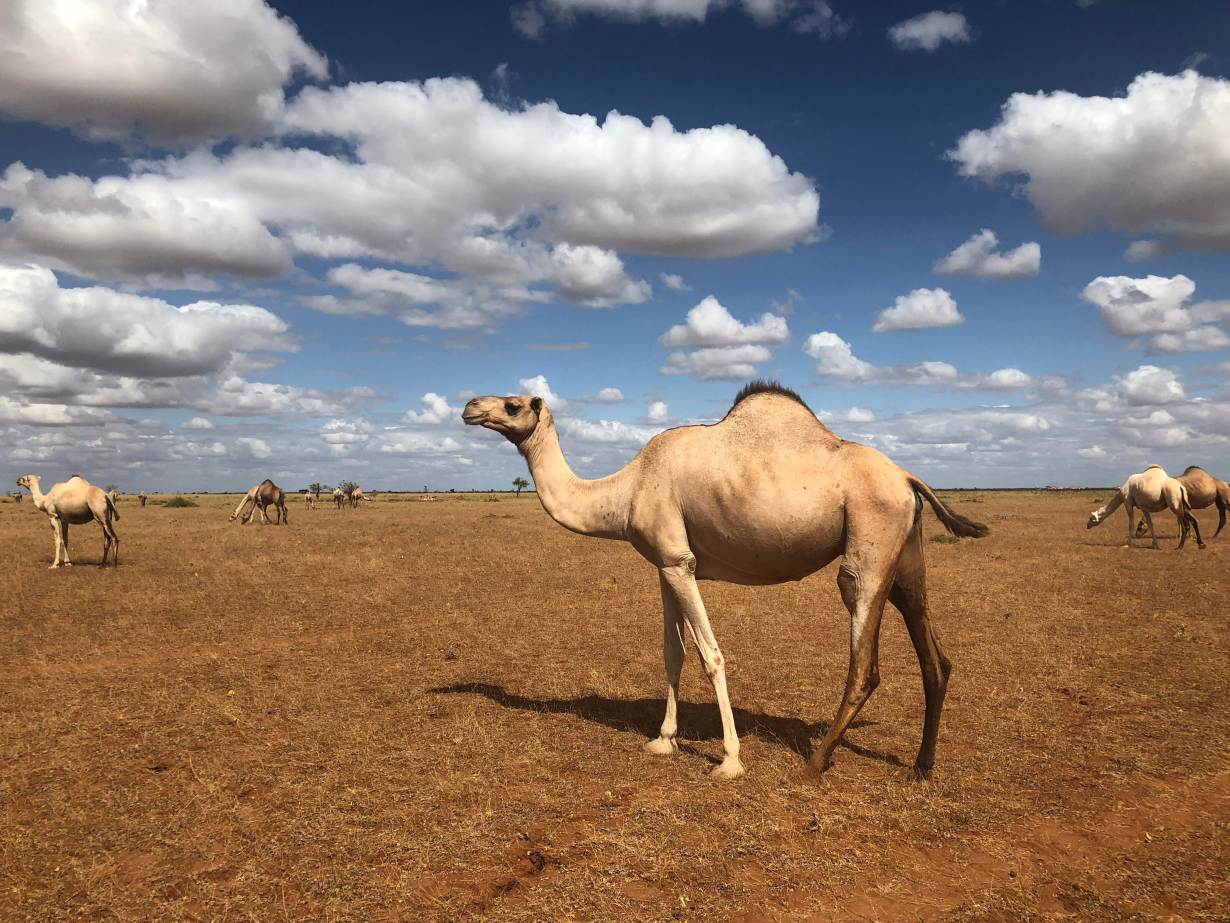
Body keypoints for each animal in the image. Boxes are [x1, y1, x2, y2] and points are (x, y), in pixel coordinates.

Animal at [462, 381, 988, 782]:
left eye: (513, 404)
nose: (469, 406)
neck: (624, 493)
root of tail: (909, 477)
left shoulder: (679, 561)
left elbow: (710, 655)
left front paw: (730, 761)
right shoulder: (665, 563)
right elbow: (672, 652)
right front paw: (663, 739)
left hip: (869, 549)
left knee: (865, 660)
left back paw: (817, 760)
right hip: (907, 555)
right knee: (934, 655)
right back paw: (921, 766)